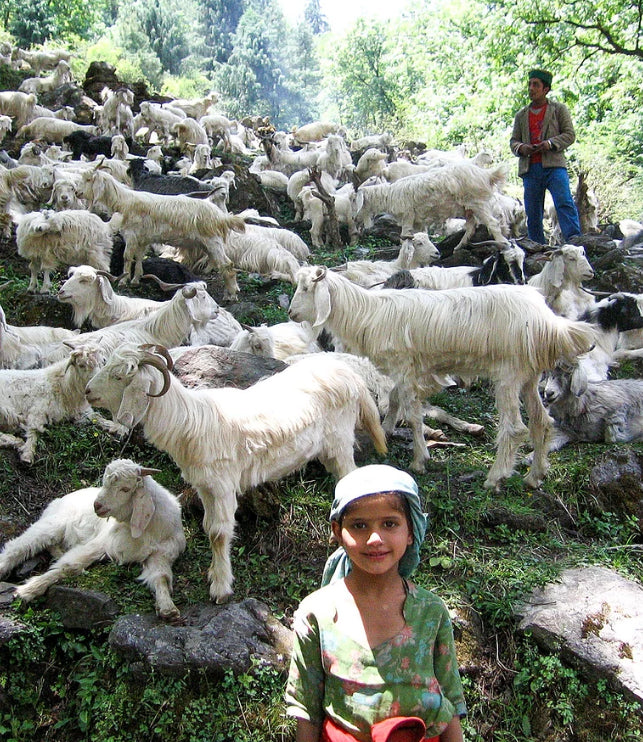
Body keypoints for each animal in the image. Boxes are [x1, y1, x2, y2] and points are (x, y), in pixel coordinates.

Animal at [0, 460, 186, 620]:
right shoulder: (101, 543)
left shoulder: (161, 554)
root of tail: (59, 500)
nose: (97, 506)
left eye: (125, 489)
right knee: (19, 545)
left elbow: (161, 577)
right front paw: (28, 590)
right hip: (54, 522)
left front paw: (168, 609)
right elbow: (69, 566)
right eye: (104, 482)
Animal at [85, 346, 388, 600]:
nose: (87, 391)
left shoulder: (222, 485)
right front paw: (213, 573)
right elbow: (208, 527)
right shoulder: (204, 486)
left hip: (340, 439)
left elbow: (219, 533)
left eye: (119, 376)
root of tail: (350, 374)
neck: (189, 422)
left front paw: (221, 587)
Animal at [290, 270, 596, 492]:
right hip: (529, 375)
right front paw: (386, 432)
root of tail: (549, 323)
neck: (367, 314)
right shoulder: (402, 370)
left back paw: (495, 478)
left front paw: (419, 460)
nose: (291, 313)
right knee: (542, 421)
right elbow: (395, 402)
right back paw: (535, 476)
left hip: (509, 373)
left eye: (306, 288)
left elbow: (413, 415)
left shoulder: (405, 367)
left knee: (515, 428)